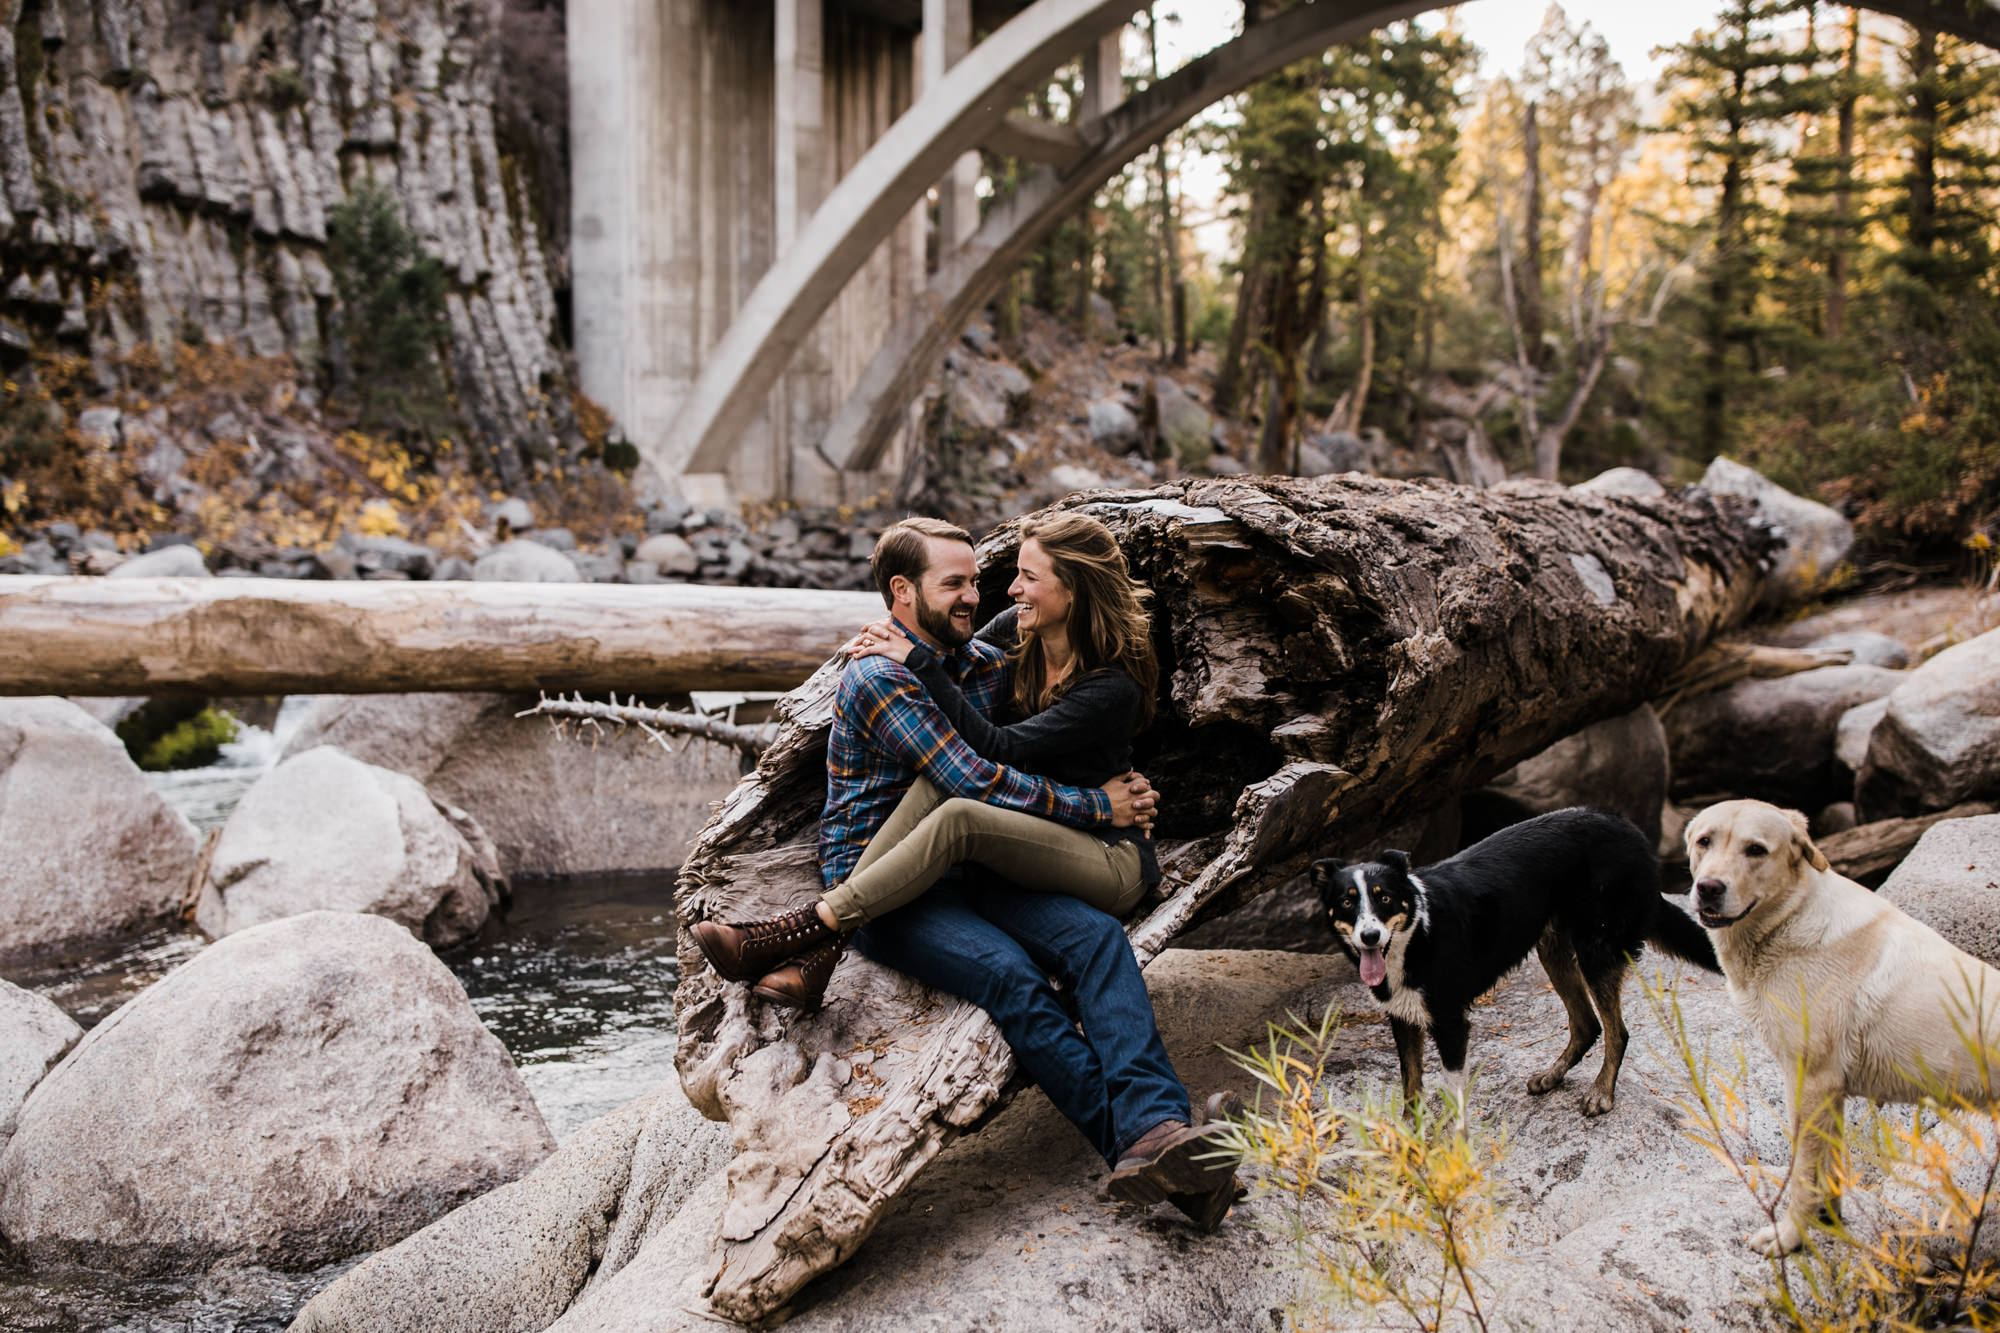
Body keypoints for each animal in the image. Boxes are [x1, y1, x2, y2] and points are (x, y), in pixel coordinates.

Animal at [1312, 804, 1720, 1112]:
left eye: (1383, 898)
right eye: (1347, 902)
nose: (1369, 936)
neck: (1416, 934)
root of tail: (1630, 830)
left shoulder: (1451, 1023)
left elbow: (1454, 1097)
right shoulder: (1403, 1018)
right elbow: (1411, 1090)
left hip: (1597, 950)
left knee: (1617, 1032)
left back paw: (1601, 1093)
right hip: (1553, 951)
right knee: (1587, 1025)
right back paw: (1552, 1076)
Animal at [1688, 792, 2000, 1248]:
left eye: (1756, 850)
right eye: (1705, 841)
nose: (1708, 888)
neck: (1789, 919)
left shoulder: (1811, 1082)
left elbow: (1803, 1173)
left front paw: (1790, 1239)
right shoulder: (1831, 1091)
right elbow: (1829, 1166)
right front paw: (1828, 1222)